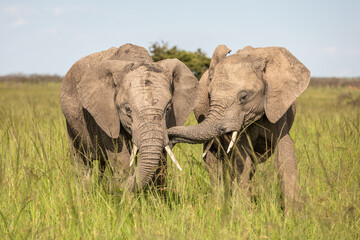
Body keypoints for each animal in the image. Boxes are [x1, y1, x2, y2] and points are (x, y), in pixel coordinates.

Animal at [60, 43, 198, 191]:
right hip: (71, 123)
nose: (111, 184)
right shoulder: (106, 114)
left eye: (168, 109)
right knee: (80, 161)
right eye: (127, 109)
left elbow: (161, 161)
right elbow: (120, 157)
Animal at [167, 45, 310, 212]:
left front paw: (293, 216)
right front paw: (244, 212)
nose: (168, 139)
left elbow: (284, 155)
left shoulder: (278, 107)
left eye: (244, 96)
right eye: (209, 96)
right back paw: (219, 204)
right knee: (214, 162)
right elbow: (242, 158)